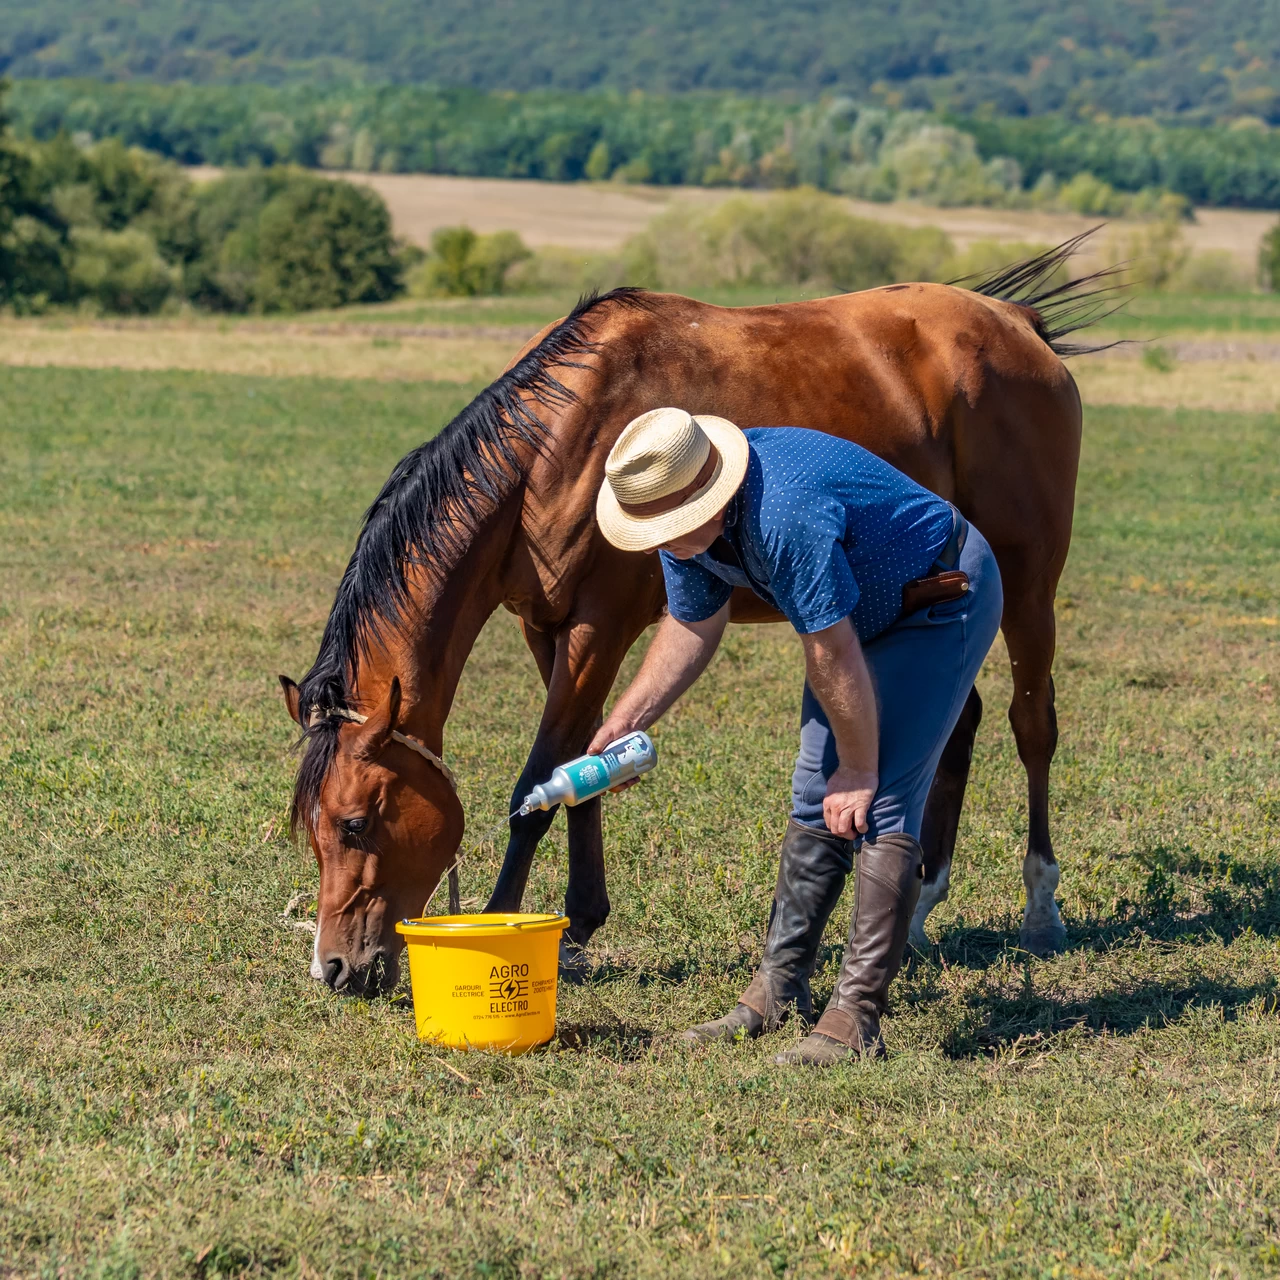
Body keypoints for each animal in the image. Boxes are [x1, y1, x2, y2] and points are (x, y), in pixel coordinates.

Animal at [280, 237, 1115, 996]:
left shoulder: (601, 628)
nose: (334, 968)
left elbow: (536, 786)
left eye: (356, 822)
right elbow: (582, 764)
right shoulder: (547, 630)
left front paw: (501, 920)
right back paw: (920, 906)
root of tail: (1016, 324)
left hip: (1027, 582)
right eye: (311, 830)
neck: (557, 448)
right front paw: (579, 927)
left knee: (1031, 726)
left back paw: (1040, 905)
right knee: (954, 724)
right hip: (923, 595)